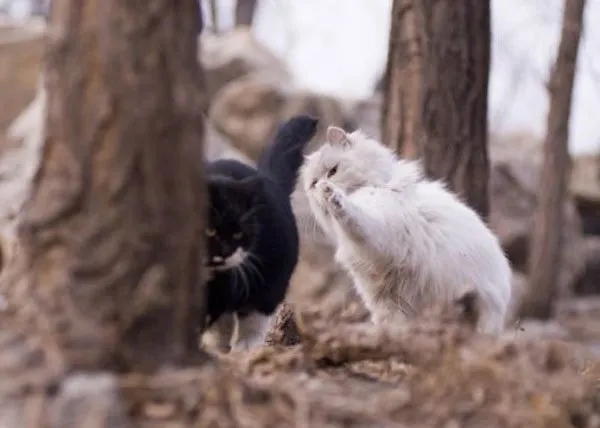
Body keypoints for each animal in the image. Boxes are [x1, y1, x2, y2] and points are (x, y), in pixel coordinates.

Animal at [203, 114, 318, 352]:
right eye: (210, 229)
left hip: (271, 276)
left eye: (238, 234)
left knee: (255, 315)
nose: (225, 251)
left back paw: (243, 348)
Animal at [300, 126, 510, 334]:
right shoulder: (381, 294)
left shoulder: (377, 232)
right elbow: (389, 320)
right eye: (313, 184)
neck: (380, 184)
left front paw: (335, 197)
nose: (320, 186)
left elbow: (354, 216)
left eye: (333, 171)